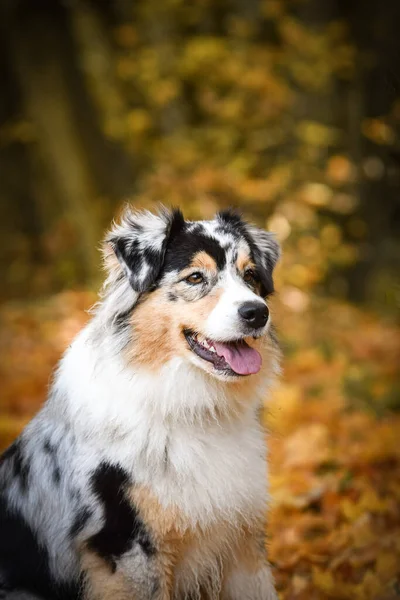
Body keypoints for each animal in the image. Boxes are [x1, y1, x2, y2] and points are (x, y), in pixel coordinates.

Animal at [0, 207, 282, 600]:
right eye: (195, 277)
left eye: (251, 275)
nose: (257, 313)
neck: (189, 405)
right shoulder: (128, 547)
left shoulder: (244, 540)